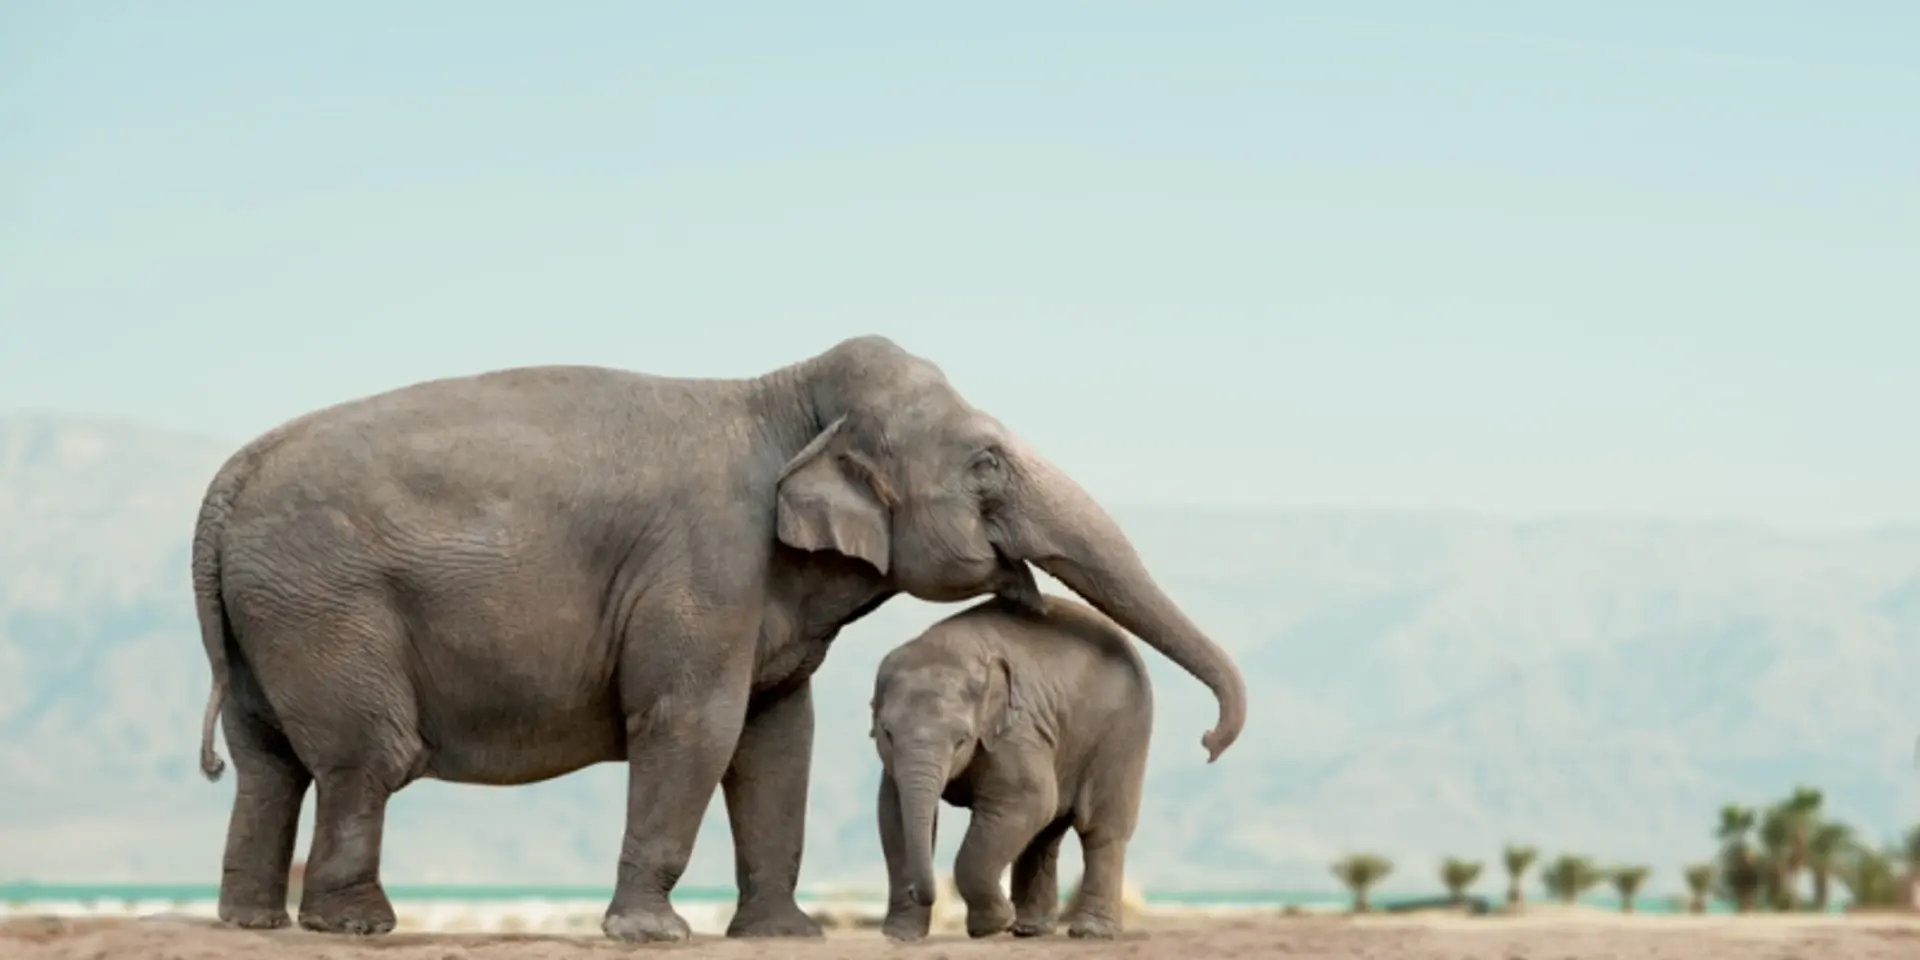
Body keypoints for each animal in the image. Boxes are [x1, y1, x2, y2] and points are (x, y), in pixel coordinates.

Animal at [870, 594, 1155, 942]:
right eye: (887, 733)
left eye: (962, 739)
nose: (917, 891)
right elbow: (892, 812)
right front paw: (900, 936)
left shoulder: (1016, 730)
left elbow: (1028, 799)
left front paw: (992, 925)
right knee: (1045, 833)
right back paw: (1030, 929)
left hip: (1123, 733)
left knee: (1101, 829)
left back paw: (1089, 932)